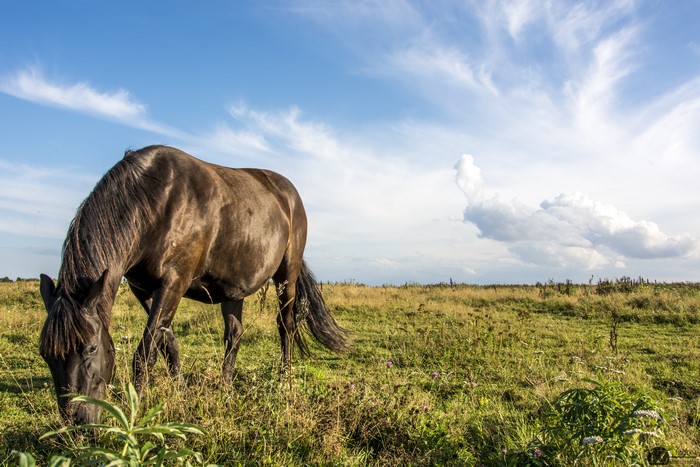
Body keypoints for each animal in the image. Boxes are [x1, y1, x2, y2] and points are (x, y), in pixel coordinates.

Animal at [39, 145, 350, 424]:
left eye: (91, 348)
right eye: (46, 355)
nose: (77, 422)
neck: (153, 202)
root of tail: (289, 193)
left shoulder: (174, 283)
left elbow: (146, 352)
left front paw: (132, 409)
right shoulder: (144, 289)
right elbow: (168, 344)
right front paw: (178, 390)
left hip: (287, 276)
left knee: (286, 326)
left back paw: (285, 380)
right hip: (233, 288)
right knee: (234, 334)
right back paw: (225, 387)